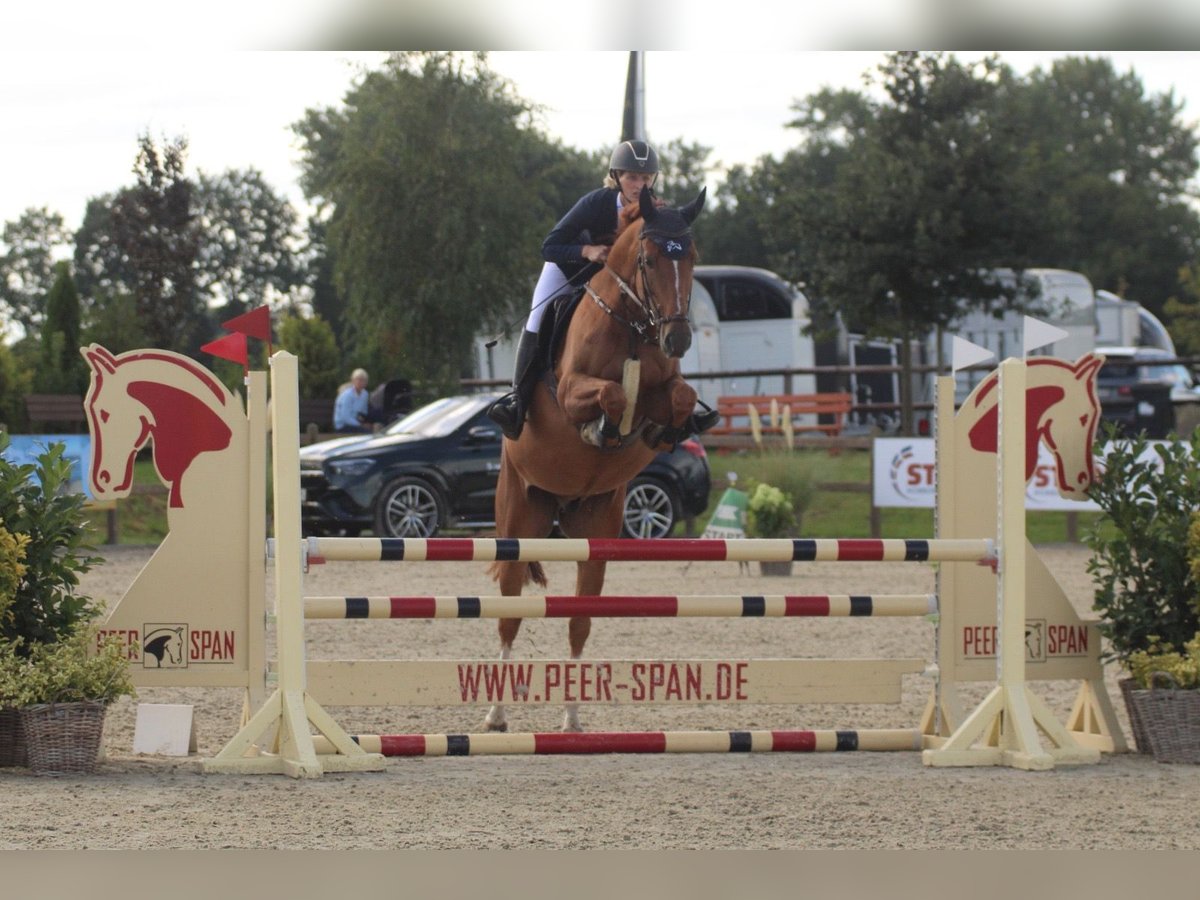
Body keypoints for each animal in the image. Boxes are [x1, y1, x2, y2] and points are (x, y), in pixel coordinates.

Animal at [487, 188, 705, 734]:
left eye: (692, 257)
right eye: (649, 260)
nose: (677, 340)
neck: (631, 326)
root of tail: (559, 507)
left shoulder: (665, 388)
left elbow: (680, 396)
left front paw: (663, 428)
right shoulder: (569, 391)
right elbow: (609, 395)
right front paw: (603, 427)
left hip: (597, 530)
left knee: (579, 621)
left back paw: (571, 719)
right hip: (518, 519)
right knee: (508, 614)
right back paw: (496, 714)